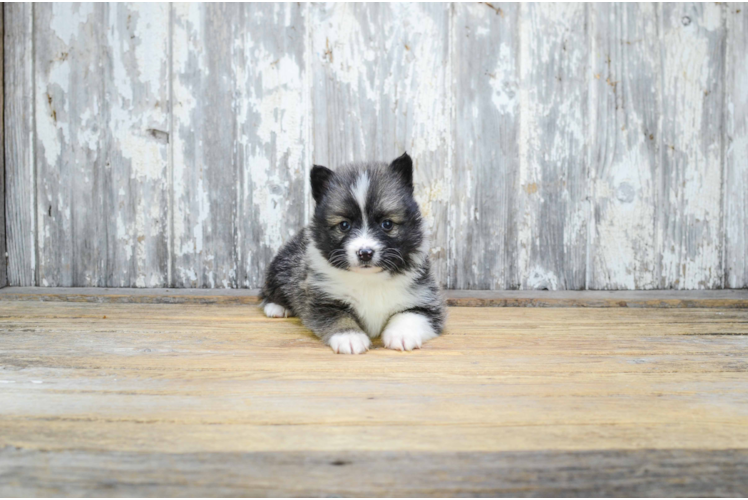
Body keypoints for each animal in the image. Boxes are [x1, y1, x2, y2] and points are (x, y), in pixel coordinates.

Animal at [260, 151, 444, 352]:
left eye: (387, 224)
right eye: (344, 225)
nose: (365, 253)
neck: (369, 279)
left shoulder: (426, 299)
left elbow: (410, 315)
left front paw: (402, 335)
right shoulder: (323, 300)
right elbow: (339, 317)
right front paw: (349, 337)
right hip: (281, 265)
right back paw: (276, 307)